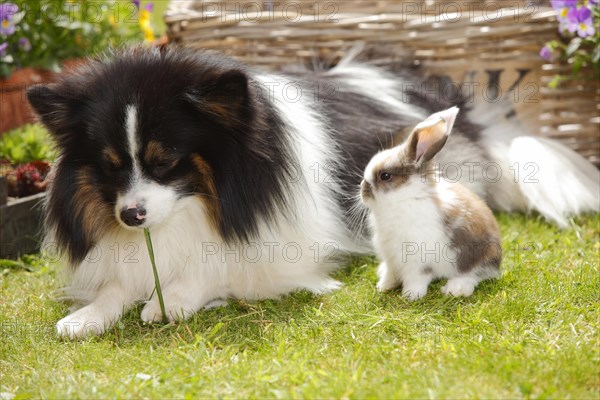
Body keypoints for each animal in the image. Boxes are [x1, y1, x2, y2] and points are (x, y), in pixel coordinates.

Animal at [360, 107, 502, 300]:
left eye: (385, 176)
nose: (362, 190)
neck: (405, 199)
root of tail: (498, 260)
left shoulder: (417, 260)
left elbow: (416, 278)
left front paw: (411, 296)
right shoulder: (391, 258)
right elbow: (391, 273)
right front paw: (383, 287)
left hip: (477, 257)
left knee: (475, 274)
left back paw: (455, 289)